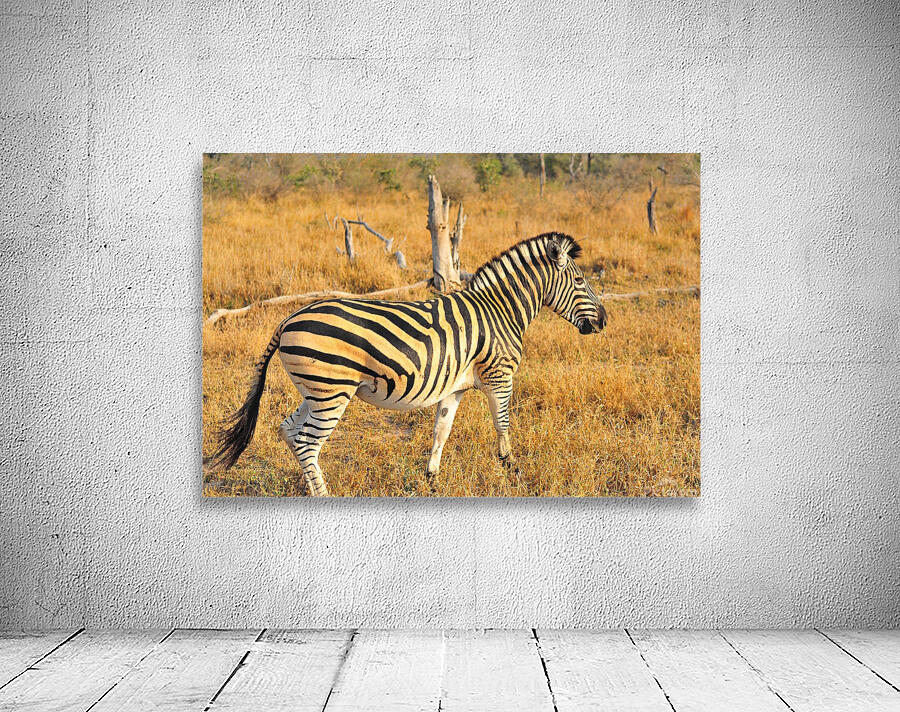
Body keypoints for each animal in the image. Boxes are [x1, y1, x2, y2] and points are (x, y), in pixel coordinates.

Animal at [205, 232, 607, 496]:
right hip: (332, 392)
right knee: (307, 440)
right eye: (579, 280)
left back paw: (311, 486)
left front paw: (432, 479)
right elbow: (503, 425)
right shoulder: (500, 376)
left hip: (315, 391)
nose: (604, 321)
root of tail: (288, 319)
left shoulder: (455, 387)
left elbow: (441, 432)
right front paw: (512, 471)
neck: (499, 311)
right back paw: (323, 495)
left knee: (289, 430)